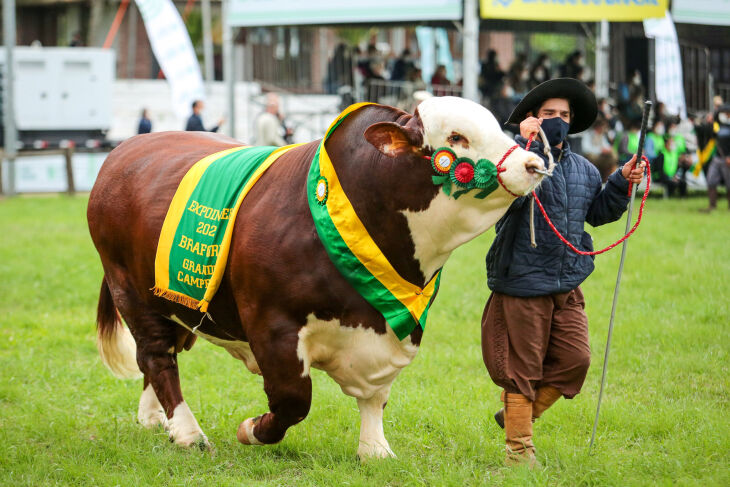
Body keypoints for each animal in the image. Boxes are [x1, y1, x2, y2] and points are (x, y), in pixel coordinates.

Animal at [88, 97, 544, 460]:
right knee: (156, 356)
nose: (535, 163)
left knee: (166, 352)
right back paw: (187, 433)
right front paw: (252, 430)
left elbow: (376, 397)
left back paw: (155, 419)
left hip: (177, 303)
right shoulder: (272, 325)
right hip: (130, 292)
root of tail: (126, 148)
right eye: (457, 137)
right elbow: (293, 400)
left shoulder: (390, 330)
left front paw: (375, 450)